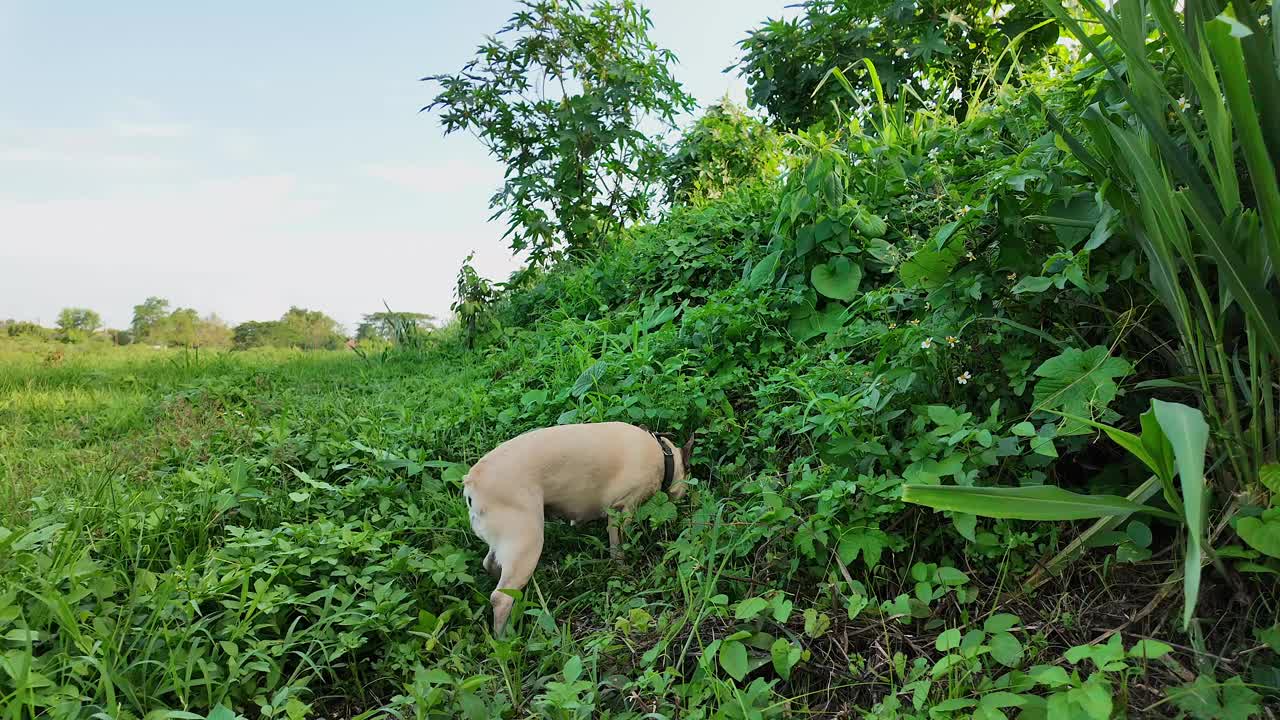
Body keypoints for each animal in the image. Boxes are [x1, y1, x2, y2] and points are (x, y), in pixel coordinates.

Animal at [465, 420, 696, 632]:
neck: (663, 455)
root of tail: (472, 482)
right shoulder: (623, 510)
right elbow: (618, 546)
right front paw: (622, 569)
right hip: (526, 542)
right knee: (500, 597)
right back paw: (506, 637)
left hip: (506, 542)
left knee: (491, 564)